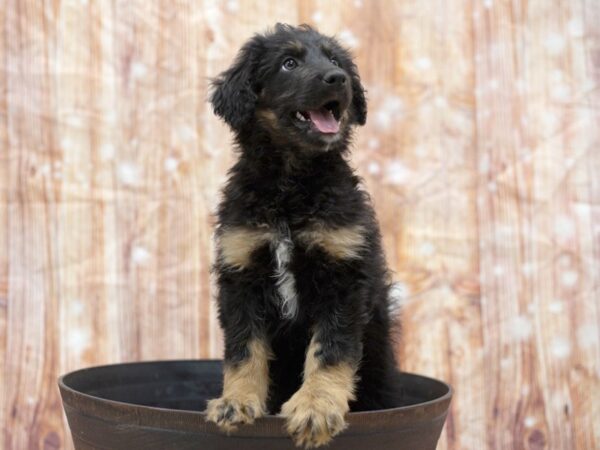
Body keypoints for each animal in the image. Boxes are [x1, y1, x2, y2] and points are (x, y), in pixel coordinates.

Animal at [207, 24, 404, 450]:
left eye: (334, 59)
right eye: (288, 63)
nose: (339, 79)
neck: (290, 190)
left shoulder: (344, 274)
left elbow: (332, 348)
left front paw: (316, 408)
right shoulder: (240, 273)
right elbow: (243, 348)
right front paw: (236, 402)